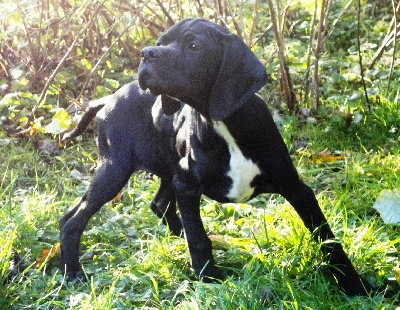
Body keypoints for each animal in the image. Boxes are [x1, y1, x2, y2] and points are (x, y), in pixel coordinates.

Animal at [61, 17, 374, 296]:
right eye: (160, 42)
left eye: (194, 46)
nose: (147, 53)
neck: (222, 122)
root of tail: (107, 99)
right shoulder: (188, 187)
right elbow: (199, 240)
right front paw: (209, 278)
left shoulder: (296, 188)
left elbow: (328, 239)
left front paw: (355, 285)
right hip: (116, 169)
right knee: (72, 219)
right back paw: (72, 272)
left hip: (164, 168)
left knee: (159, 203)